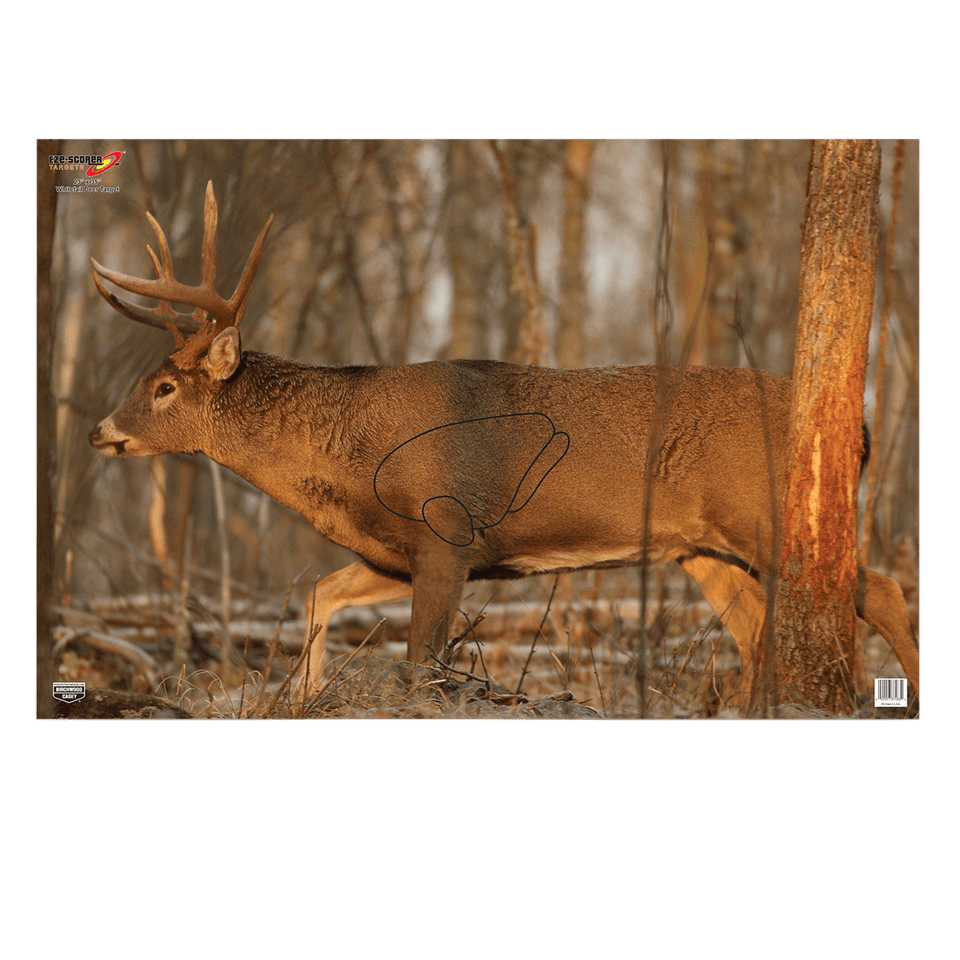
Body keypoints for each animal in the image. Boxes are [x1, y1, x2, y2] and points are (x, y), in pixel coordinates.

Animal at [88, 182, 920, 708]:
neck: (348, 457)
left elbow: (422, 664)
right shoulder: (395, 552)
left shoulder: (447, 534)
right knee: (755, 632)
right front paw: (308, 693)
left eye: (164, 387)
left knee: (879, 591)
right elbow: (321, 595)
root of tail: (861, 426)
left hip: (767, 517)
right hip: (700, 547)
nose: (101, 431)